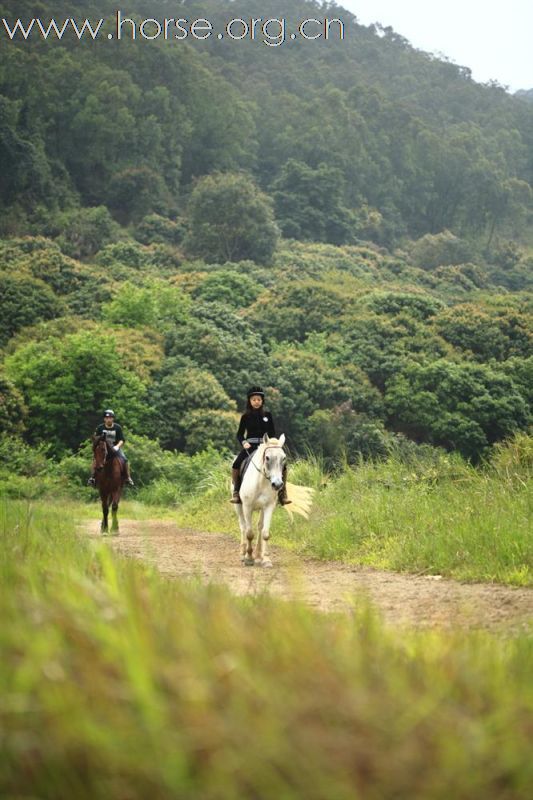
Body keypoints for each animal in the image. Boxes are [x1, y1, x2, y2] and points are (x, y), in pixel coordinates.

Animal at [235, 432, 286, 568]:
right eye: (267, 458)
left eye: (283, 458)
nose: (277, 484)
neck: (261, 482)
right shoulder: (247, 506)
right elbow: (249, 533)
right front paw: (248, 558)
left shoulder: (268, 507)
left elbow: (265, 533)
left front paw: (266, 559)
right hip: (238, 506)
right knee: (243, 526)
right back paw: (242, 553)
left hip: (261, 509)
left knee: (259, 527)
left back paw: (258, 554)